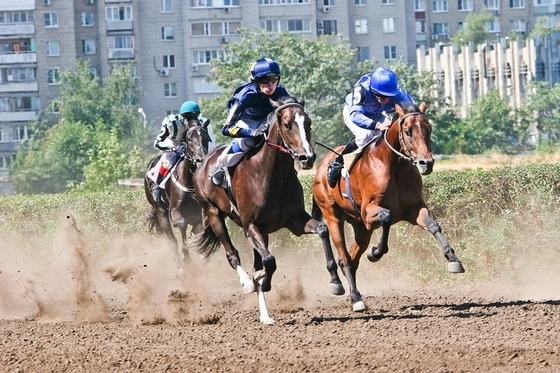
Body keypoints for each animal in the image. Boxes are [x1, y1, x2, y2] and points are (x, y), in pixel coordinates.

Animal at [144, 117, 212, 268]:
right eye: (189, 138)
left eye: (206, 137)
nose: (200, 159)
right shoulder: (174, 208)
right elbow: (181, 224)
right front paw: (187, 258)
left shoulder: (198, 214)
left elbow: (197, 230)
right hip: (160, 210)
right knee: (172, 241)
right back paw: (180, 267)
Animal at [192, 96, 332, 322]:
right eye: (287, 124)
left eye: (308, 123)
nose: (307, 157)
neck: (271, 175)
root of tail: (203, 163)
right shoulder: (251, 226)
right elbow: (269, 260)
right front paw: (261, 282)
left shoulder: (295, 221)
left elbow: (322, 229)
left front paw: (336, 281)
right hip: (214, 213)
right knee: (232, 253)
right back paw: (247, 283)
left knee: (258, 262)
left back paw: (265, 315)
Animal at [312, 101, 466, 310]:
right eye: (408, 131)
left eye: (429, 129)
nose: (426, 163)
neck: (395, 166)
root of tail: (320, 167)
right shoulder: (369, 213)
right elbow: (387, 216)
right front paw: (375, 252)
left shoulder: (414, 208)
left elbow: (433, 225)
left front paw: (453, 259)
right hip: (333, 214)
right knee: (343, 255)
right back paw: (353, 297)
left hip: (361, 229)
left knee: (351, 259)